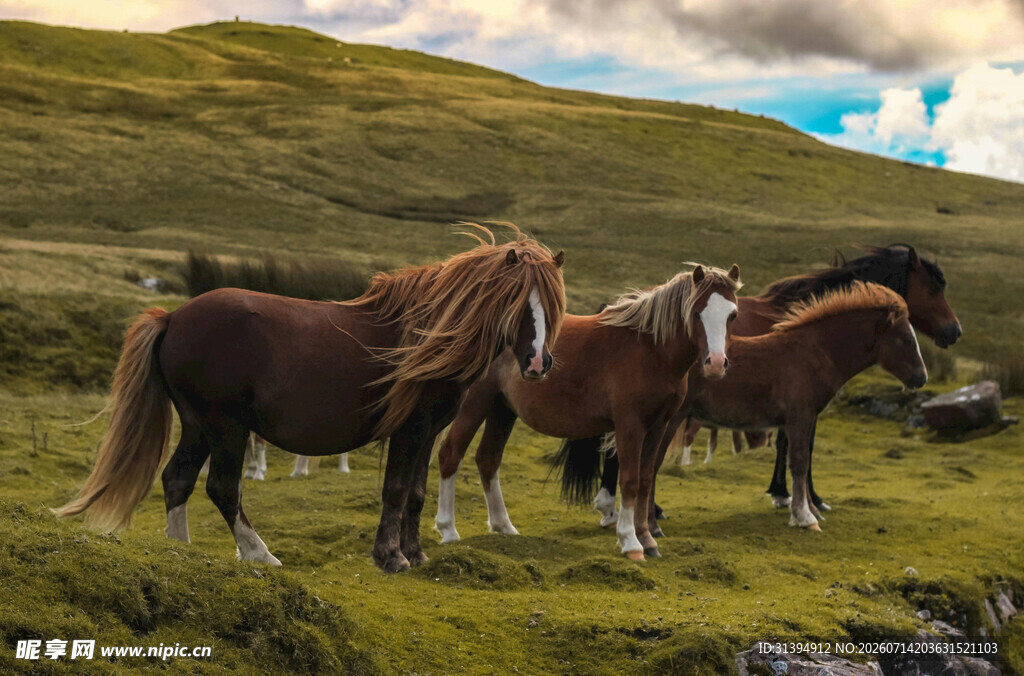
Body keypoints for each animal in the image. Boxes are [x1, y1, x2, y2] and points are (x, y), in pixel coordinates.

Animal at [56, 224, 566, 574]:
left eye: (552, 305)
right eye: (518, 303)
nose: (538, 363)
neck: (428, 336)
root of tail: (174, 318)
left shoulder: (428, 431)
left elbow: (417, 492)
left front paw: (416, 553)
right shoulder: (410, 429)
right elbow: (396, 489)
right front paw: (391, 558)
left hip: (200, 424)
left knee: (177, 478)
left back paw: (180, 551)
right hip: (225, 426)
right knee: (221, 487)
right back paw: (259, 554)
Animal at [433, 264, 742, 561]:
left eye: (733, 315)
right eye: (697, 313)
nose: (716, 363)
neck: (650, 350)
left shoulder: (658, 426)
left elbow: (645, 480)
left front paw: (647, 538)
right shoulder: (630, 426)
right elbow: (629, 480)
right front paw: (630, 542)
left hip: (502, 408)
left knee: (488, 459)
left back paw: (504, 526)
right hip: (475, 404)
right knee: (451, 454)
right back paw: (448, 530)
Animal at [594, 244, 959, 524]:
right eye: (933, 288)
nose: (954, 332)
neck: (815, 345)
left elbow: (794, 450)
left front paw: (795, 500)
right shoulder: (802, 412)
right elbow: (800, 454)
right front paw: (803, 505)